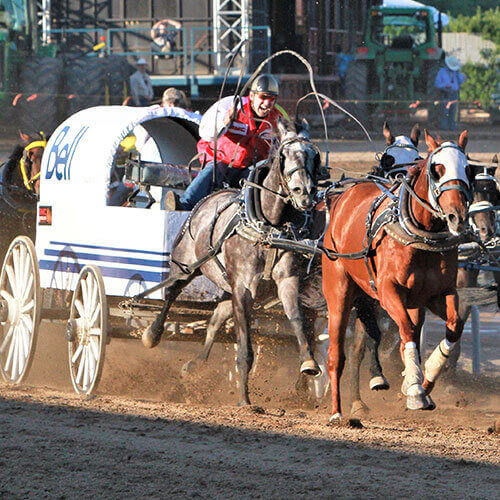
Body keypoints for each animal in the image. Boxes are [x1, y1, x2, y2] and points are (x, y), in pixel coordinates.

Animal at [322, 129, 470, 418]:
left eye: (468, 168)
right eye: (437, 169)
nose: (457, 217)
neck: (420, 233)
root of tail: (342, 198)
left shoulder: (439, 293)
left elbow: (454, 326)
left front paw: (424, 381)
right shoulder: (388, 290)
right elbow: (407, 332)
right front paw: (414, 389)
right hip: (339, 290)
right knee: (336, 354)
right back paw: (336, 411)